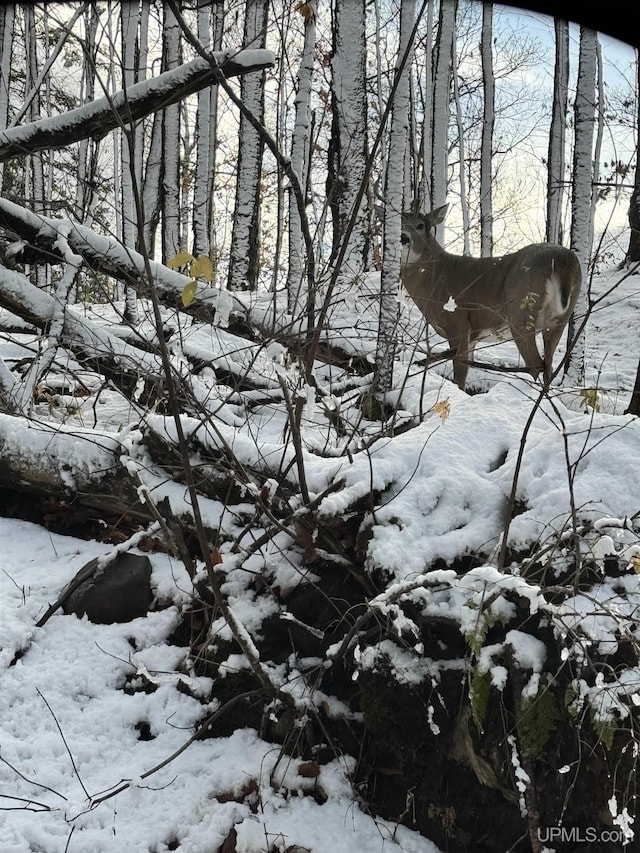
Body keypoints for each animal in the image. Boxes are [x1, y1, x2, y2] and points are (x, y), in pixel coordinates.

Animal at [402, 206, 584, 392]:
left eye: (420, 225)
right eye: (398, 221)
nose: (403, 237)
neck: (435, 276)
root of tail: (564, 260)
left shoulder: (458, 324)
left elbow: (459, 374)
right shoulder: (472, 336)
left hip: (521, 312)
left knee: (535, 364)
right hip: (560, 319)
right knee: (548, 366)